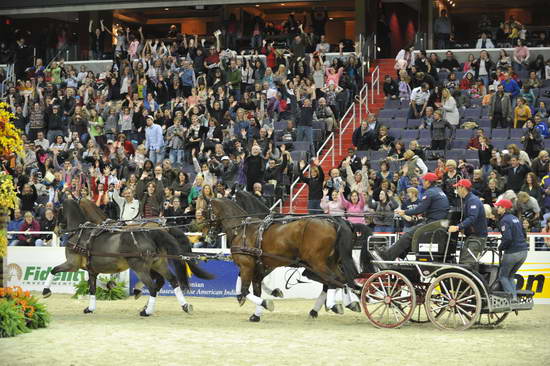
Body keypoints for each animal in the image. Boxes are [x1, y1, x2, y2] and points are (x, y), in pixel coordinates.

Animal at [43, 199, 215, 316]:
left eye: (57, 211)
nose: (56, 230)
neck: (80, 232)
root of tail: (154, 231)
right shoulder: (92, 269)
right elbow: (92, 287)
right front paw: (92, 306)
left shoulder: (72, 264)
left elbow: (54, 270)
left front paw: (46, 290)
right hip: (159, 264)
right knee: (171, 281)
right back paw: (185, 305)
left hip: (140, 267)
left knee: (153, 286)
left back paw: (146, 310)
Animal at [207, 199, 366, 322]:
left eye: (205, 209)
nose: (208, 236)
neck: (242, 230)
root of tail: (334, 223)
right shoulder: (257, 266)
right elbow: (254, 289)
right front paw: (256, 314)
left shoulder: (246, 264)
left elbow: (245, 290)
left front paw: (265, 303)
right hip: (329, 263)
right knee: (341, 280)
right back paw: (346, 303)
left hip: (317, 264)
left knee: (334, 280)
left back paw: (334, 305)